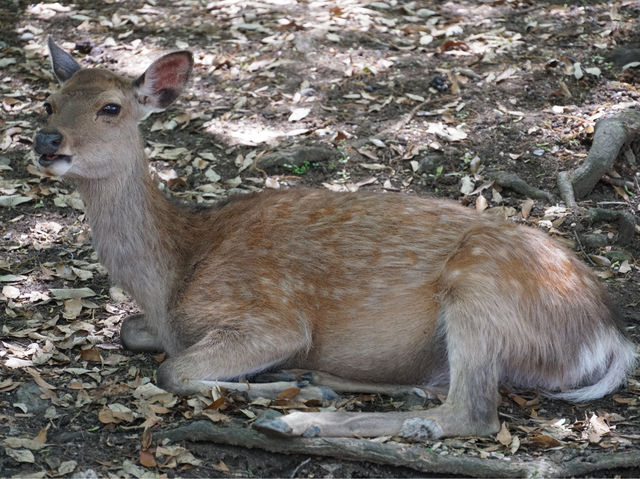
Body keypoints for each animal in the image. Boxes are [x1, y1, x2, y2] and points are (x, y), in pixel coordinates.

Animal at [33, 37, 636, 440]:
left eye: (111, 108)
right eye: (48, 101)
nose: (46, 140)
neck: (174, 273)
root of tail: (609, 336)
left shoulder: (269, 316)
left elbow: (170, 370)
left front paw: (278, 391)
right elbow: (131, 334)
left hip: (481, 288)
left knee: (471, 414)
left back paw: (298, 416)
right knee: (440, 389)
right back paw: (317, 379)